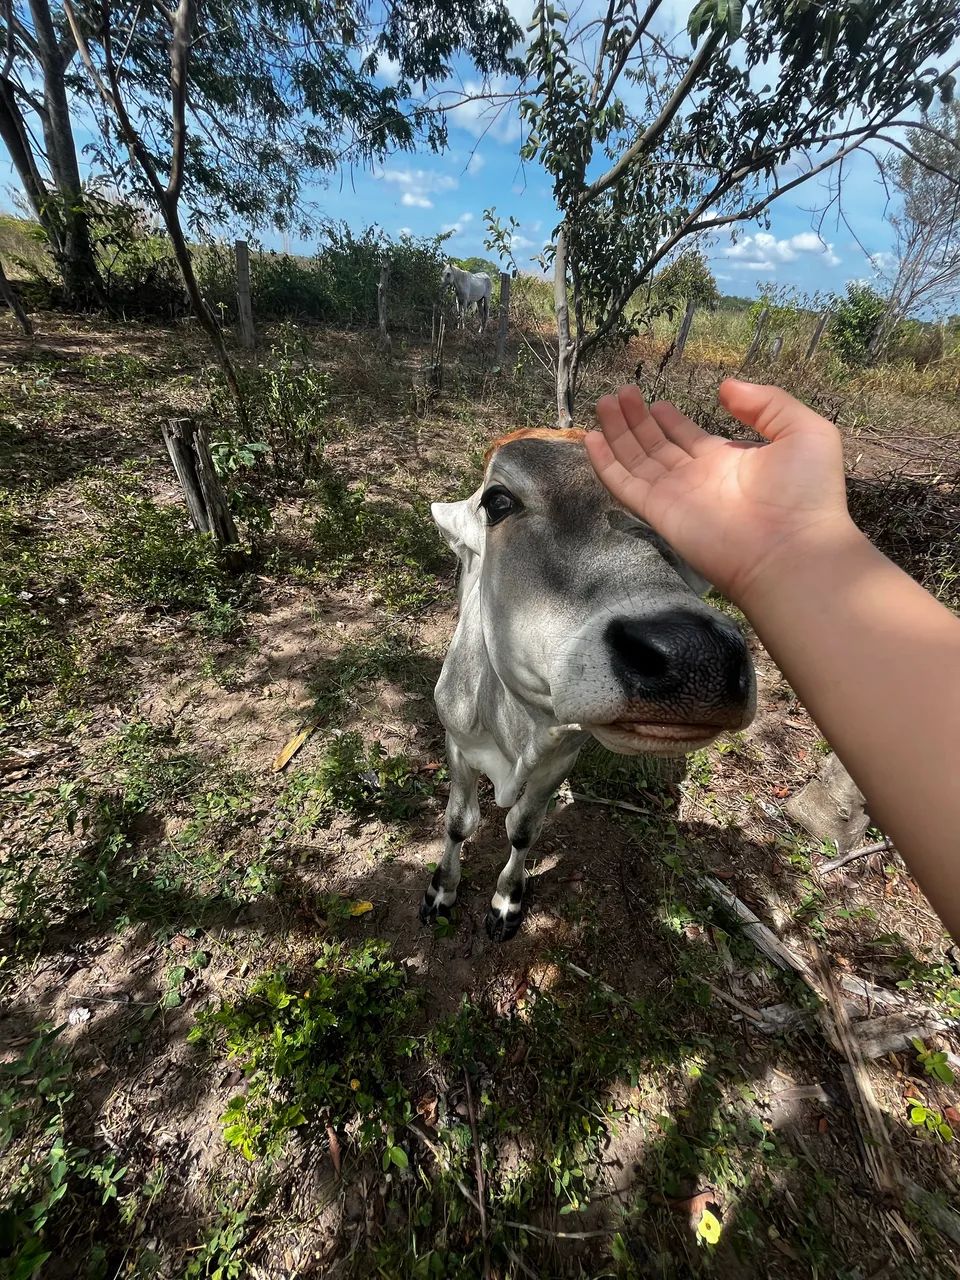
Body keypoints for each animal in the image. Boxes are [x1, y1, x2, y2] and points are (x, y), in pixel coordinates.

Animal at [420, 426, 756, 942]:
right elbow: (459, 822)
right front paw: (441, 891)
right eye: (498, 501)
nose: (698, 657)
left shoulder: (558, 760)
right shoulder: (457, 743)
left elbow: (523, 829)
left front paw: (506, 902)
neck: (517, 729)